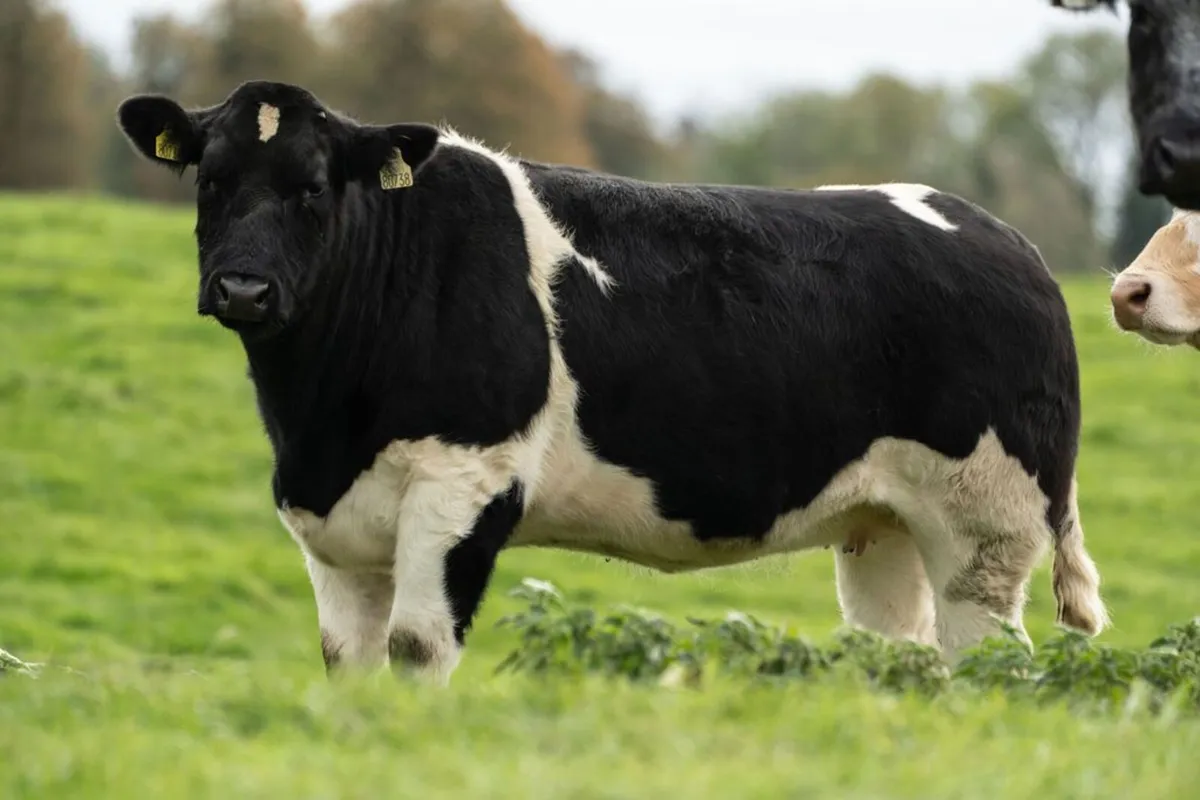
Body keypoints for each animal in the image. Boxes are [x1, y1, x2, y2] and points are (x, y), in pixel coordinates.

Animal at [115, 80, 1108, 684]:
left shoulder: (464, 483)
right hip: (886, 527)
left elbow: (415, 645)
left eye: (315, 187)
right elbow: (347, 659)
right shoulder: (332, 525)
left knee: (994, 658)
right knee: (901, 655)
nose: (244, 287)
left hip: (986, 524)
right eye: (209, 179)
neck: (324, 422)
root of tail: (1012, 242)